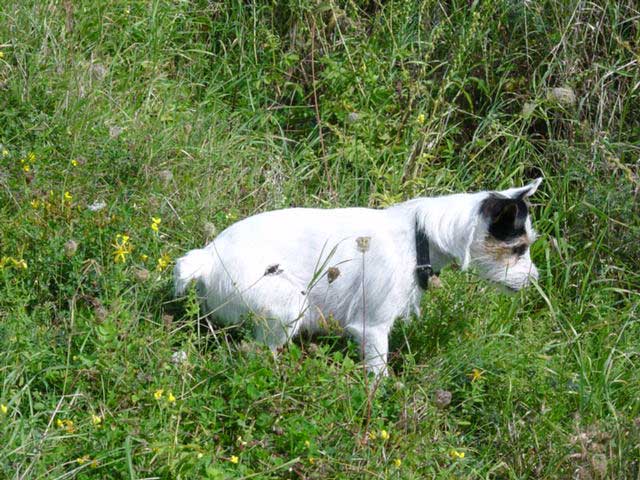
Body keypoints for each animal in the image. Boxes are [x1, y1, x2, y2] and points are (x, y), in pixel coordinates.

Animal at [175, 178, 540, 376]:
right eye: (519, 248)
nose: (534, 280)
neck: (420, 237)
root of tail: (207, 259)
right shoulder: (373, 328)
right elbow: (379, 376)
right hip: (288, 308)